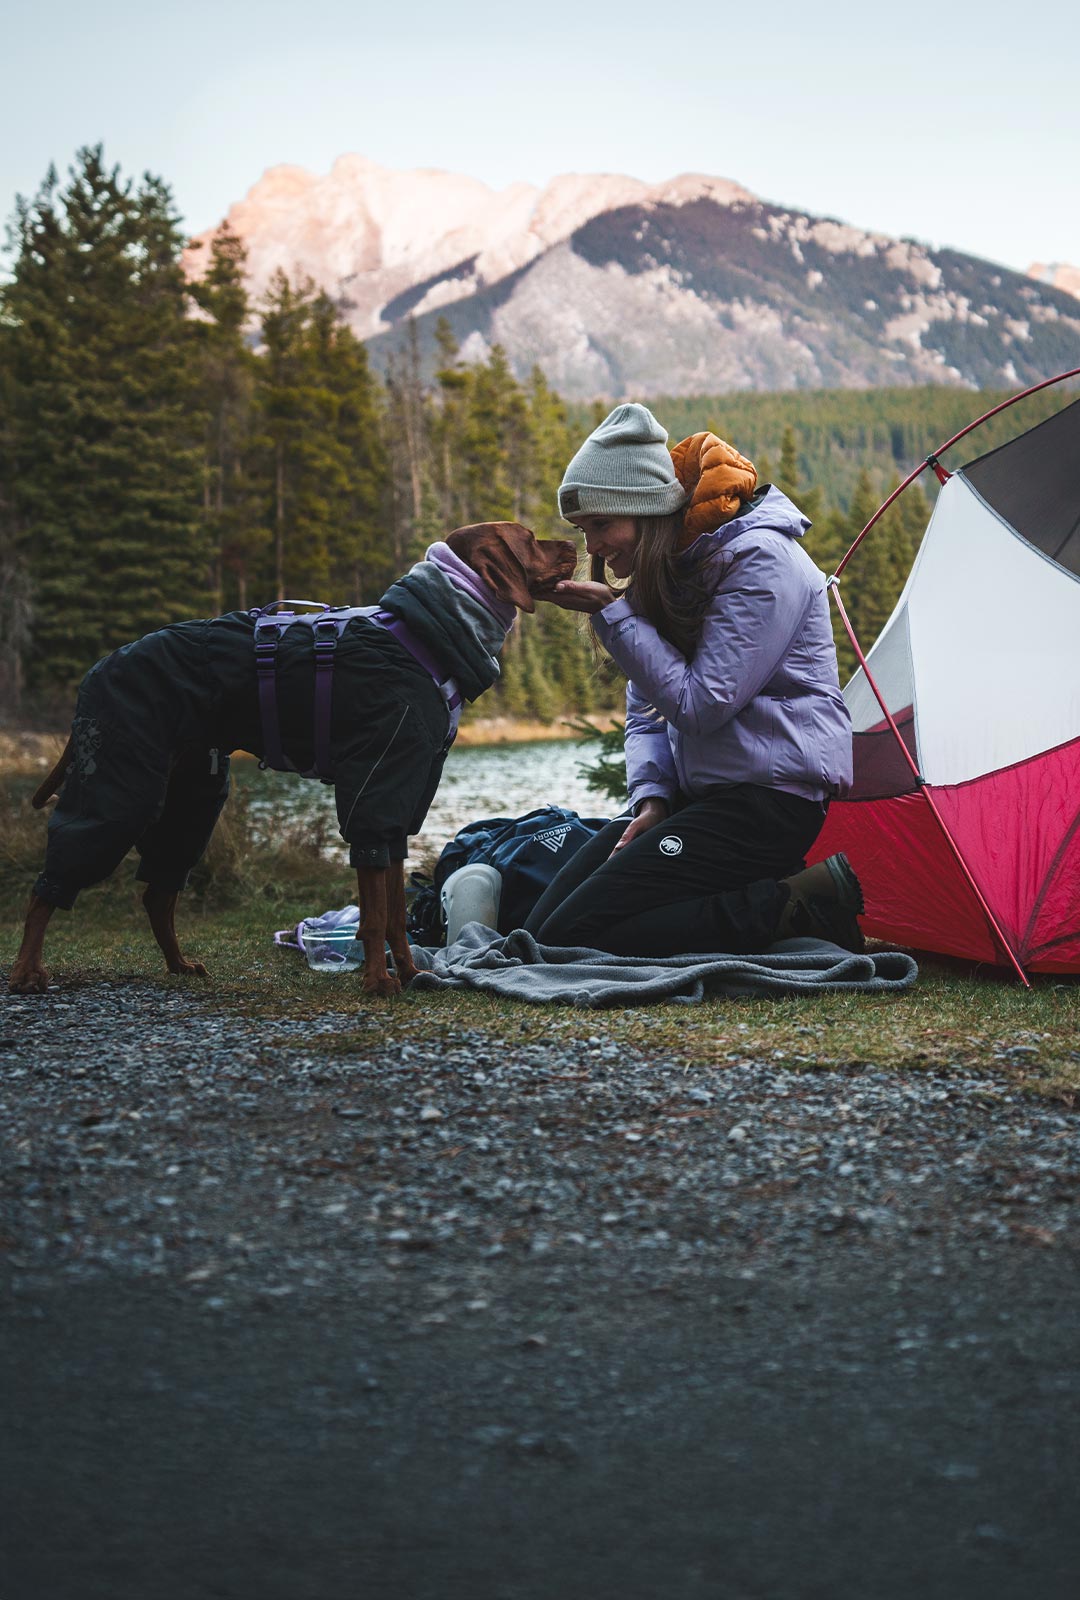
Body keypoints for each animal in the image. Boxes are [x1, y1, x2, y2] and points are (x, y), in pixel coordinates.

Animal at [10, 524, 582, 992]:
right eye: (529, 539)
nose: (575, 542)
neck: (424, 633)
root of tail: (99, 668)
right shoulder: (374, 790)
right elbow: (374, 914)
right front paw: (378, 982)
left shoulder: (401, 805)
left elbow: (395, 915)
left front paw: (410, 973)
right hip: (120, 784)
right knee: (49, 886)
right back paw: (27, 971)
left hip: (192, 796)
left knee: (159, 891)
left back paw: (178, 965)